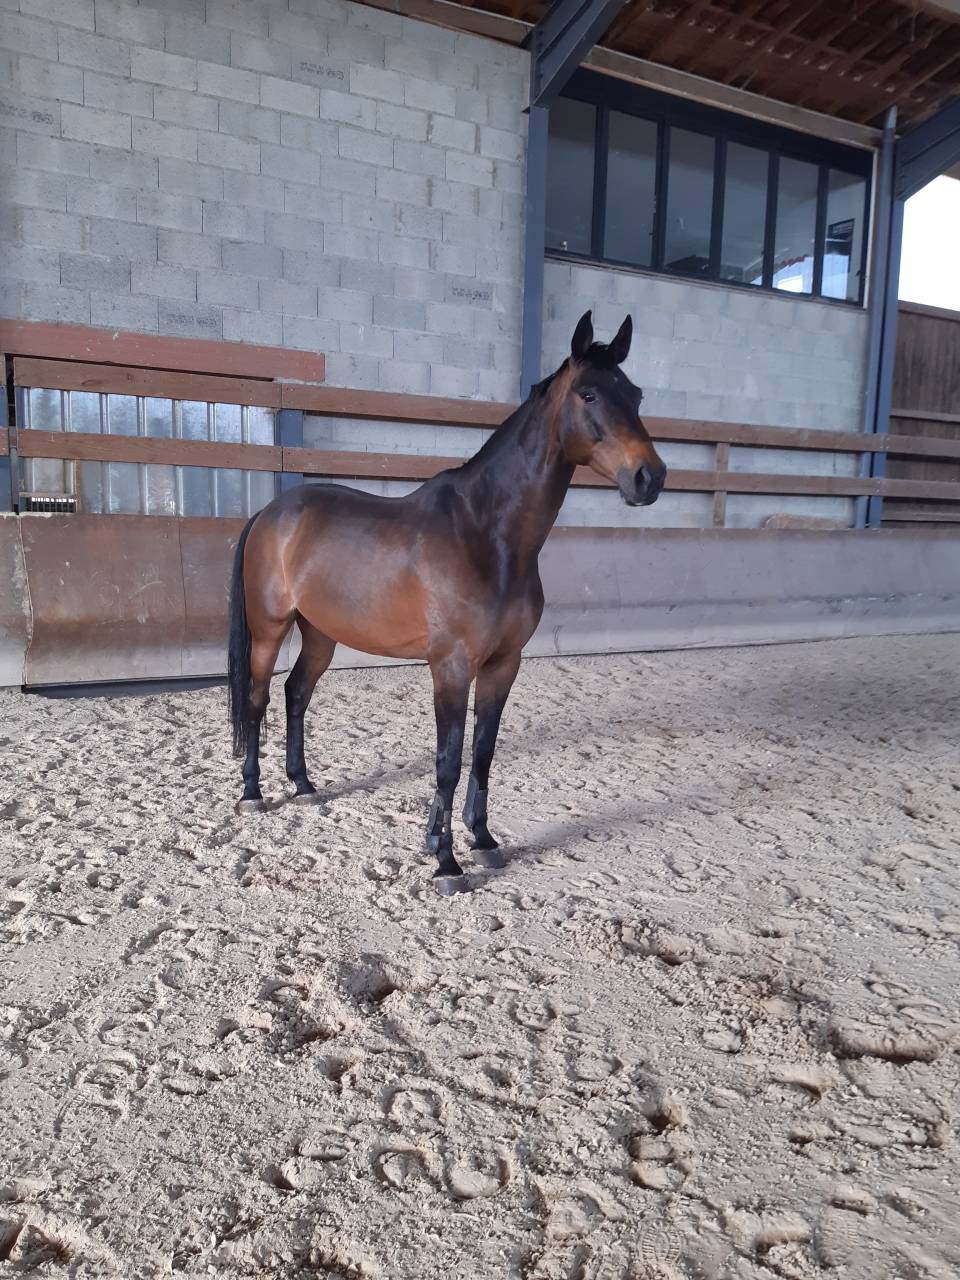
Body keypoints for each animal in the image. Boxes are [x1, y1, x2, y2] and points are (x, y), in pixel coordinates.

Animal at [227, 311, 666, 891]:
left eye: (635, 395)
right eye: (589, 394)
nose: (650, 477)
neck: (485, 535)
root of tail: (271, 513)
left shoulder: (504, 664)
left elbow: (481, 752)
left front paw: (481, 840)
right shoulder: (452, 667)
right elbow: (448, 761)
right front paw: (445, 860)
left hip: (321, 632)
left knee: (297, 693)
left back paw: (303, 785)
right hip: (270, 628)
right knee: (257, 699)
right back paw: (253, 792)